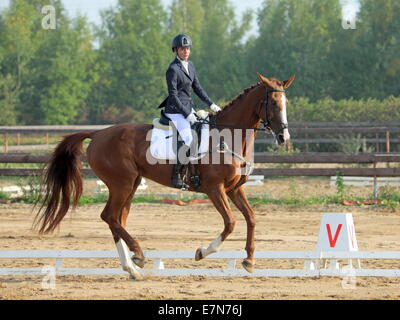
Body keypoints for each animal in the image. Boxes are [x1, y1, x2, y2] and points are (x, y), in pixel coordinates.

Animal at [34, 72, 296, 278]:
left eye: (286, 102)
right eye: (273, 103)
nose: (284, 137)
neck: (226, 137)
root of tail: (97, 134)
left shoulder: (234, 188)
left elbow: (251, 218)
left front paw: (249, 260)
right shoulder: (214, 189)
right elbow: (230, 222)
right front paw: (202, 252)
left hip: (130, 185)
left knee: (117, 219)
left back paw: (132, 268)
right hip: (121, 183)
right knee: (109, 216)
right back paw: (138, 255)